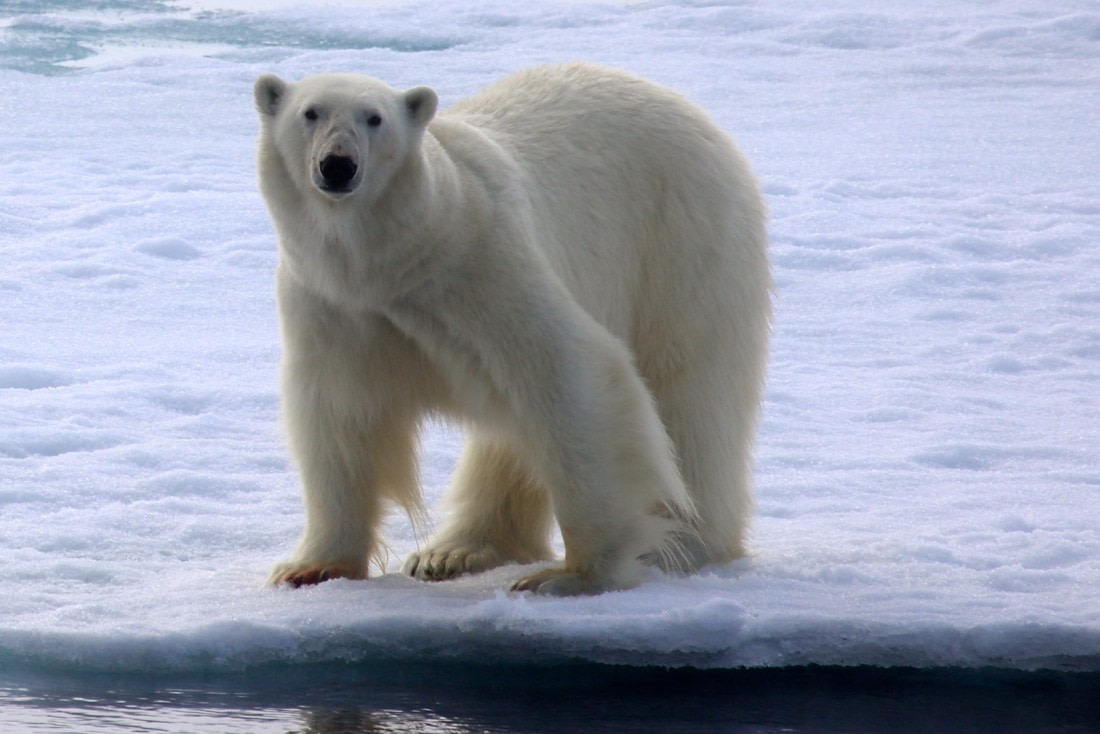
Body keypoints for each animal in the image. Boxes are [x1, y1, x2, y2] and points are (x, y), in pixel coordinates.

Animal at [254, 63, 771, 596]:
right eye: (310, 113)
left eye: (374, 118)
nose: (338, 165)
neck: (396, 263)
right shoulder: (334, 307)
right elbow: (338, 416)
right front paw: (310, 567)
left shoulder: (482, 270)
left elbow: (571, 378)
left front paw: (571, 575)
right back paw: (454, 551)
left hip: (679, 244)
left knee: (688, 396)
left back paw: (684, 544)